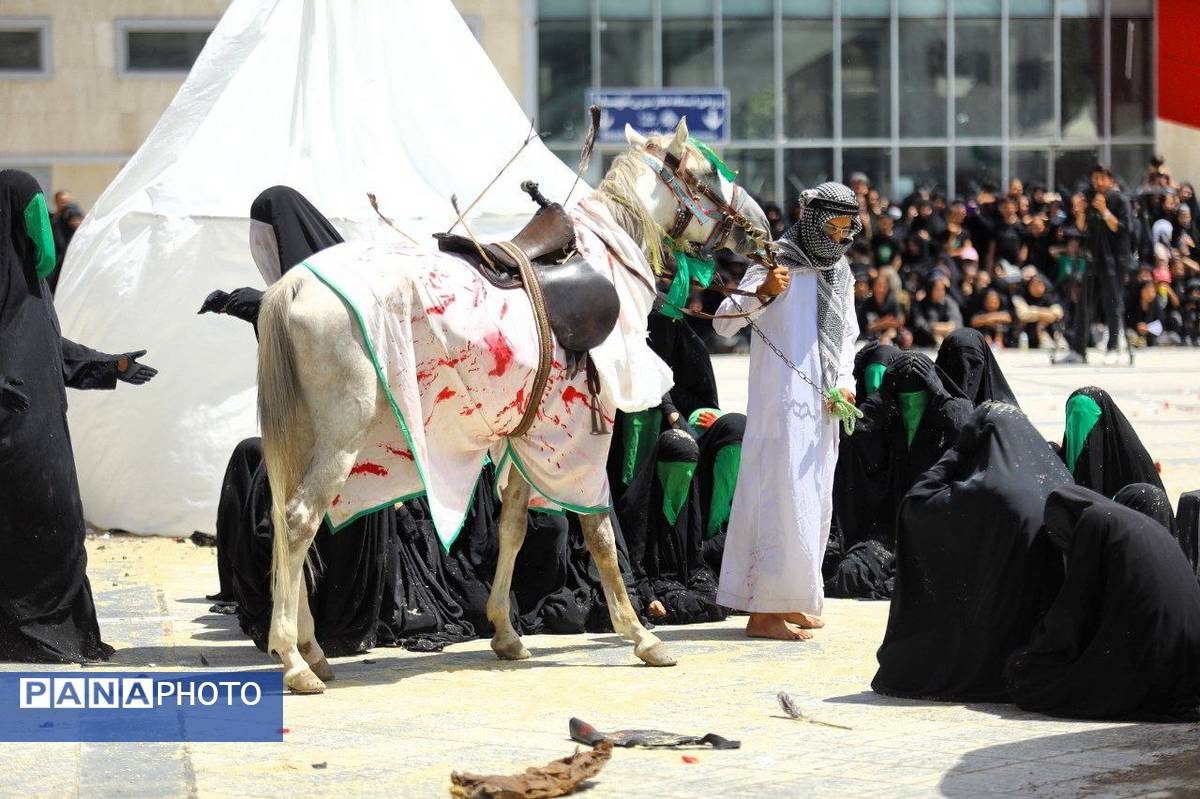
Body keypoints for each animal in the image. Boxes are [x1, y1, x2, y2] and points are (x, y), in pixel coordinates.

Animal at [260, 115, 768, 686]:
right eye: (710, 173)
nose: (760, 226)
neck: (607, 259)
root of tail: (294, 285)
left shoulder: (531, 430)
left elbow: (515, 525)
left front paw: (505, 632)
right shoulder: (577, 434)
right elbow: (598, 529)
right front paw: (640, 634)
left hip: (304, 437)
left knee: (285, 520)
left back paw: (312, 649)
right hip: (340, 439)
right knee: (300, 519)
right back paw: (294, 659)